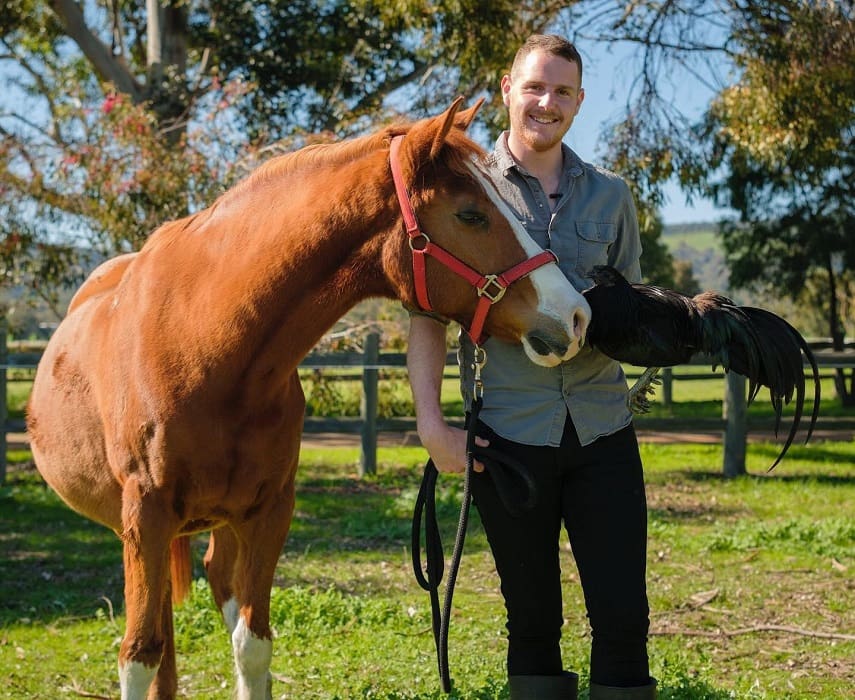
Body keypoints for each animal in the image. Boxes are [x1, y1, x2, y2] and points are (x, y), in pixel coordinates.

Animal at [25, 100, 588, 700]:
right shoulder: (145, 519)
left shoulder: (270, 512)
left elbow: (252, 645)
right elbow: (138, 655)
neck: (203, 348)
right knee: (156, 635)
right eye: (471, 214)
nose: (575, 315)